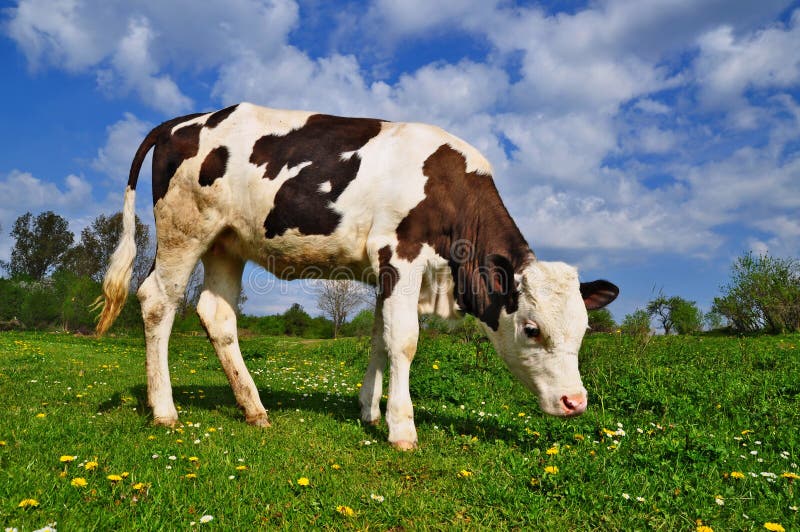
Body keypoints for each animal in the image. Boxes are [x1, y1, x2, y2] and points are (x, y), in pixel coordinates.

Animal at [95, 103, 620, 448]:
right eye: (532, 329)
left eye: (584, 329)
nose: (575, 401)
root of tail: (181, 121)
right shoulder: (401, 255)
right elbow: (404, 340)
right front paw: (402, 428)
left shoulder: (385, 270)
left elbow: (380, 338)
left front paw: (370, 412)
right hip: (184, 229)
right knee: (157, 300)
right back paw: (165, 410)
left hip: (227, 242)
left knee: (216, 314)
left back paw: (254, 409)